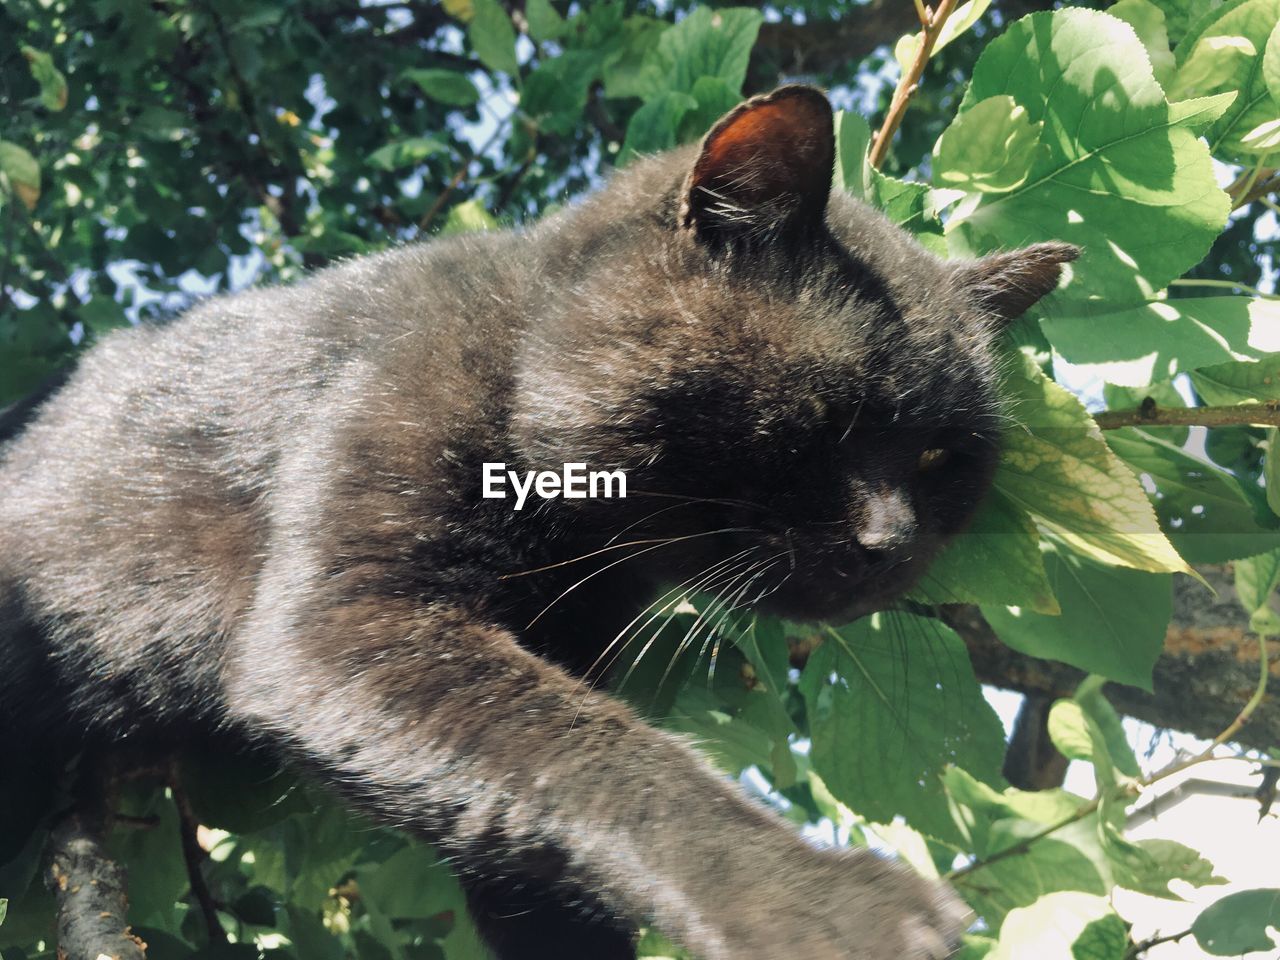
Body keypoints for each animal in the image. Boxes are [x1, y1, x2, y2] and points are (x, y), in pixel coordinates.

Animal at [0, 86, 1075, 957]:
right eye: (822, 418)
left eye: (941, 461)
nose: (892, 542)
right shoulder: (348, 622)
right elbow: (600, 753)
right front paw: (818, 903)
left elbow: (538, 829)